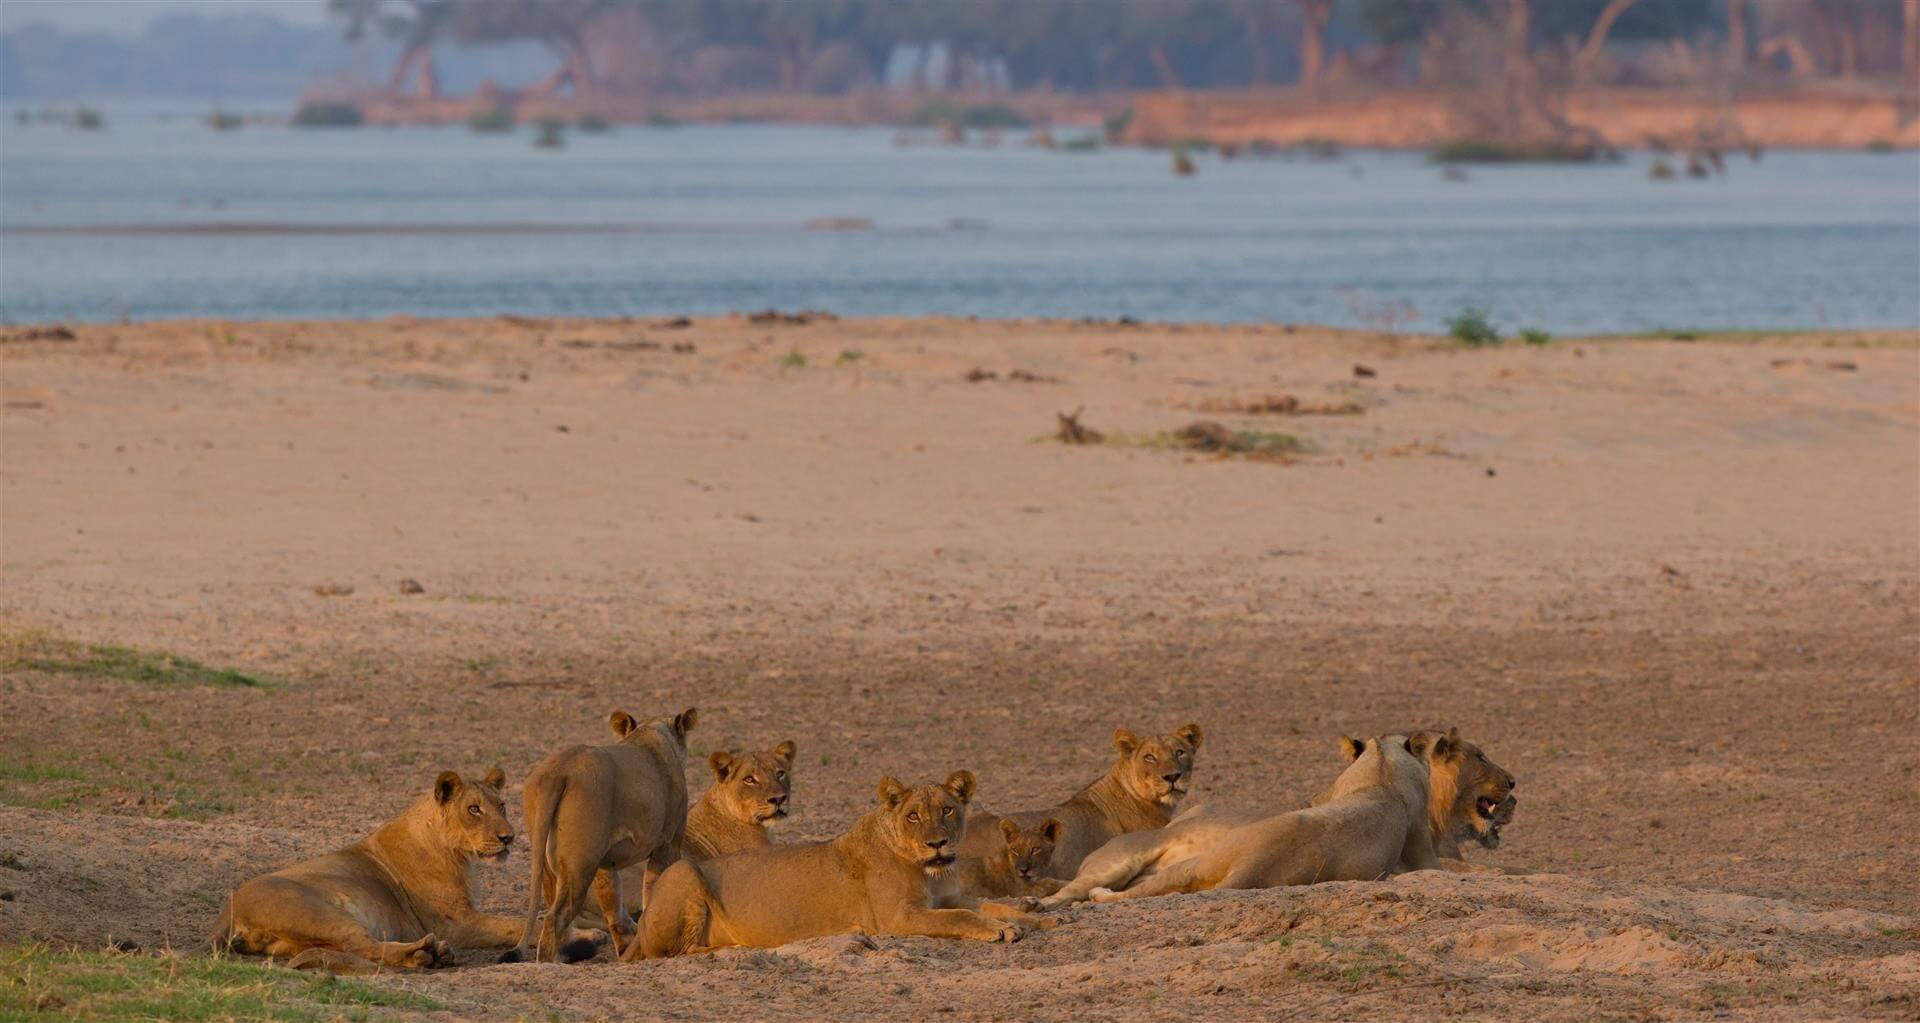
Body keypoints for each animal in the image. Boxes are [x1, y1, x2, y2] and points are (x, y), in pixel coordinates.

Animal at [215, 767, 579, 975]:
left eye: (501, 805)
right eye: (474, 809)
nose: (509, 837)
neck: (455, 852)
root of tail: (227, 915)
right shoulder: (456, 924)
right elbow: (518, 924)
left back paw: (433, 955)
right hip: (318, 911)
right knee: (363, 946)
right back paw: (425, 954)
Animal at [503, 706, 698, 959]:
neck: (651, 731)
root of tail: (559, 769)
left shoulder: (607, 860)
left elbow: (614, 903)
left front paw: (627, 947)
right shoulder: (668, 845)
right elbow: (652, 895)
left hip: (553, 859)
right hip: (580, 865)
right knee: (554, 918)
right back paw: (550, 961)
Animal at [625, 771, 1052, 951]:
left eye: (947, 809)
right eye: (913, 815)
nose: (937, 843)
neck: (932, 872)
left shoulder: (953, 896)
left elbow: (993, 905)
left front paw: (1038, 919)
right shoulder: (898, 917)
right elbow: (961, 918)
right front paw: (1003, 930)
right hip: (682, 873)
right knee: (675, 952)